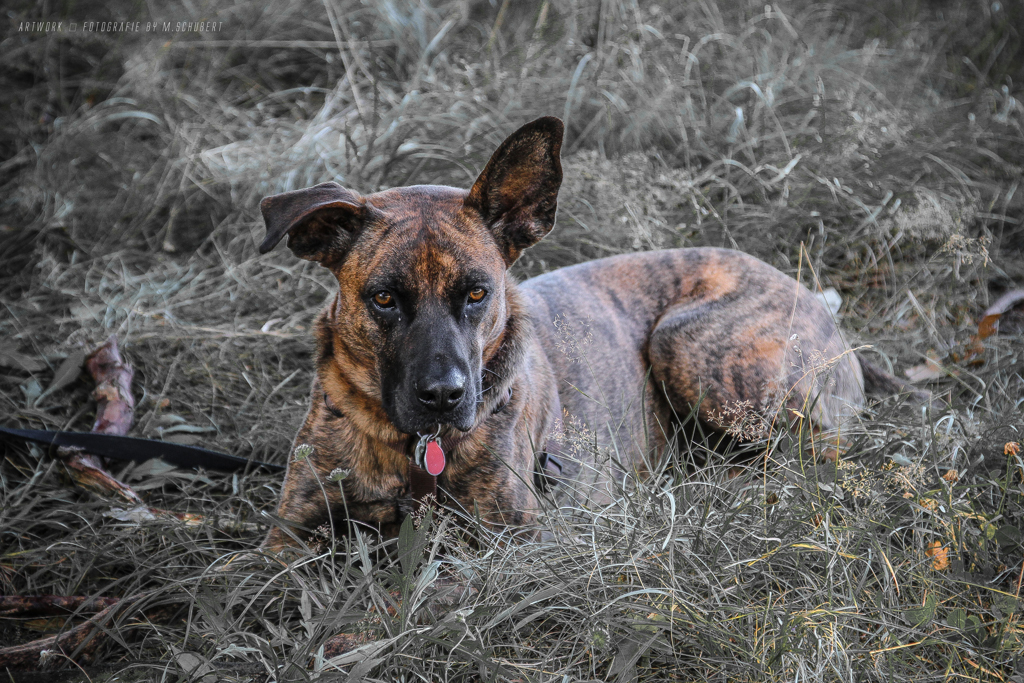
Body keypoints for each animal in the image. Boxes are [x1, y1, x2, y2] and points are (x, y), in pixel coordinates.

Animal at [256, 114, 921, 548]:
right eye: (384, 299)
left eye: (477, 293)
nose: (445, 396)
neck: (411, 451)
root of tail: (817, 303)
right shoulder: (288, 538)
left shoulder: (515, 542)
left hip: (689, 345)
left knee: (817, 455)